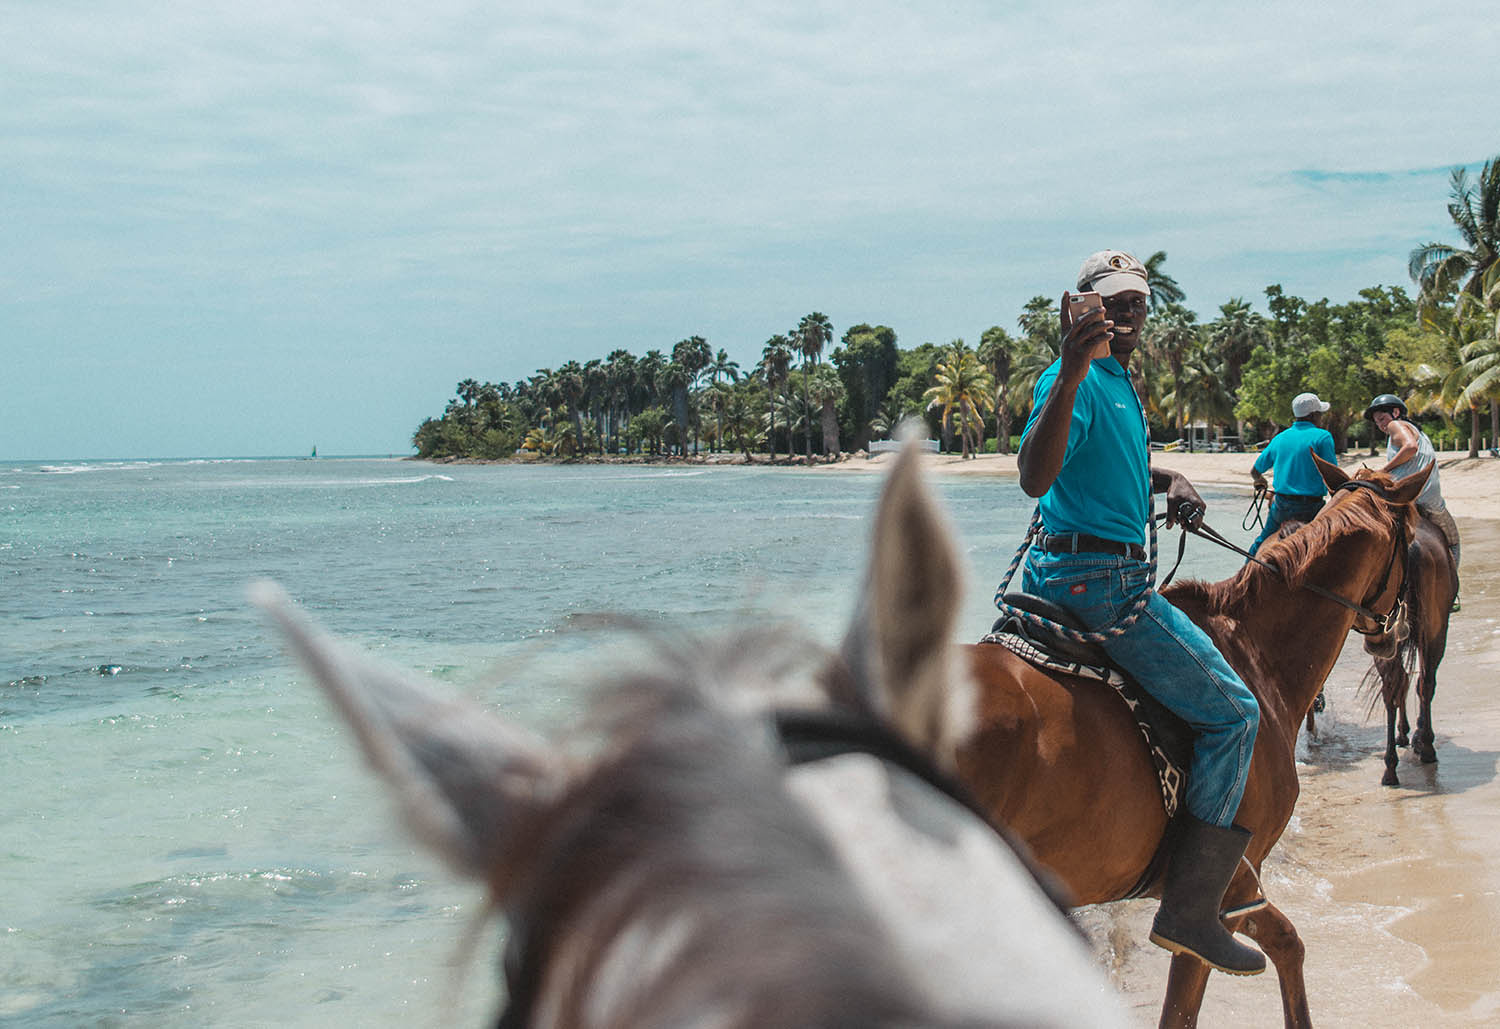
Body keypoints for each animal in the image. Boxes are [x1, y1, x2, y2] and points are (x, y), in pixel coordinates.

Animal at [948, 459, 1428, 1029]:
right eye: (1413, 539)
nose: (1397, 634)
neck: (1254, 654)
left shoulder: (1238, 894)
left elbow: (1289, 944)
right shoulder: (1220, 901)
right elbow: (1192, 1002)